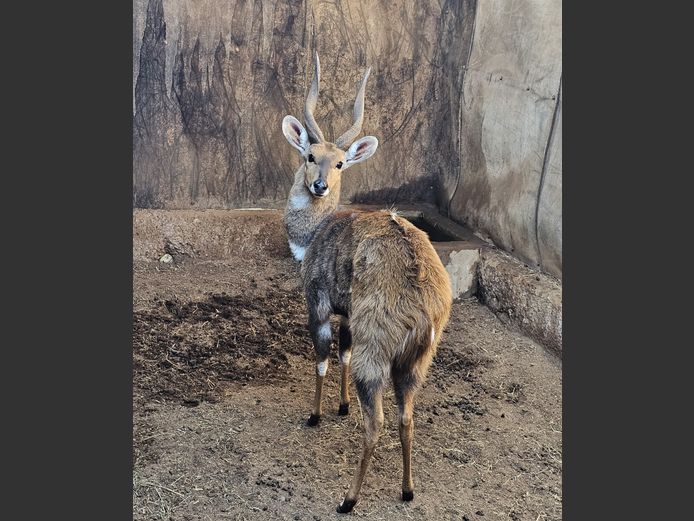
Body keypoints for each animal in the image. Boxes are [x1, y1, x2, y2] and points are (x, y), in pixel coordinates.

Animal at [280, 53, 454, 512]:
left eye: (340, 162)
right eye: (310, 154)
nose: (320, 185)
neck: (318, 230)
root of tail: (426, 299)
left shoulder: (319, 304)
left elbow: (322, 358)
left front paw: (316, 415)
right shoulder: (347, 317)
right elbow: (341, 354)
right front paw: (340, 407)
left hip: (376, 356)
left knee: (376, 422)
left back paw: (348, 499)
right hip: (413, 365)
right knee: (407, 417)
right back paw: (407, 491)